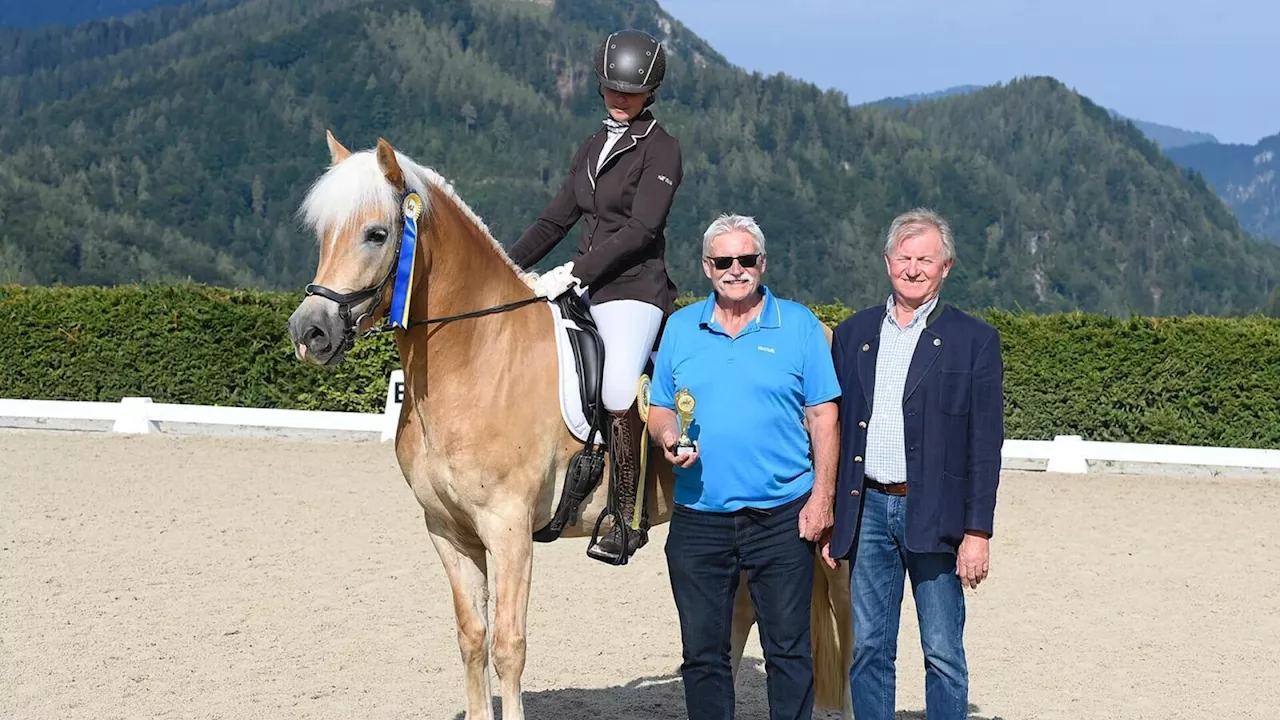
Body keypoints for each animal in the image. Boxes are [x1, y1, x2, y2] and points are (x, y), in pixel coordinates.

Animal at [285, 130, 855, 717]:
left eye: (377, 234)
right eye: (323, 233)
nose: (310, 333)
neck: (479, 356)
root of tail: (826, 331)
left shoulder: (509, 528)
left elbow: (508, 645)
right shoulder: (447, 530)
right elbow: (472, 639)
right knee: (742, 610)